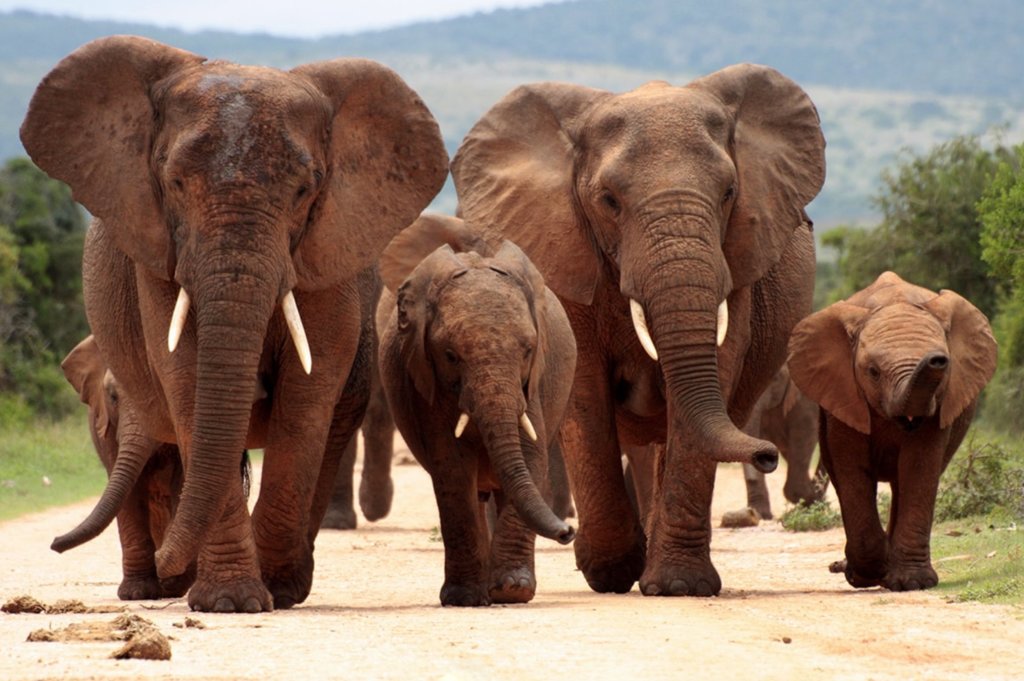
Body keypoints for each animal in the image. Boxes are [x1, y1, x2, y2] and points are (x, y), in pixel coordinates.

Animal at [20, 35, 448, 610]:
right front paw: (230, 602)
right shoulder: (158, 252)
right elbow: (186, 379)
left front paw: (272, 590)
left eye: (304, 191)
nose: (52, 545)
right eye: (175, 183)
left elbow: (308, 394)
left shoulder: (326, 252)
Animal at [380, 214, 581, 606]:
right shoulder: (425, 382)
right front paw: (465, 598)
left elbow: (531, 455)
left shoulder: (534, 383)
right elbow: (452, 467)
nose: (568, 531)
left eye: (528, 350)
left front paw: (513, 590)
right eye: (450, 355)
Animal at [452, 63, 827, 593]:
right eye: (609, 200)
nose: (767, 454)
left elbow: (713, 373)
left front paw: (678, 586)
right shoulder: (563, 253)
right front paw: (610, 571)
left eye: (729, 193)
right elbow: (584, 389)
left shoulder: (737, 263)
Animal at [786, 270, 995, 589]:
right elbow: (851, 468)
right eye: (873, 372)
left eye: (945, 367)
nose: (937, 359)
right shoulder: (844, 392)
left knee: (901, 483)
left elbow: (918, 467)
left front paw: (911, 583)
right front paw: (863, 575)